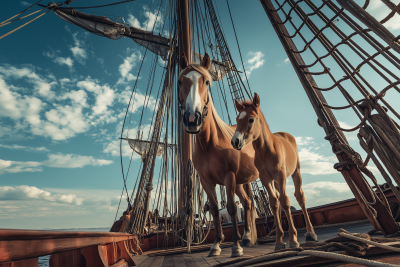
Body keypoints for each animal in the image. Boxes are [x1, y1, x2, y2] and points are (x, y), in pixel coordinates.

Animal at [178, 53, 260, 258]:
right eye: (180, 81)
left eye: (207, 82)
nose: (192, 119)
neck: (209, 143)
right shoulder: (206, 180)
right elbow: (215, 210)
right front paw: (216, 244)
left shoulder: (228, 176)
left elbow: (231, 208)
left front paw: (235, 246)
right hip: (240, 182)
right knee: (247, 202)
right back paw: (247, 237)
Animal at [230, 92, 318, 251]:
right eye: (237, 120)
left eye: (251, 119)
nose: (235, 141)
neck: (266, 150)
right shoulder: (265, 178)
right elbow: (274, 203)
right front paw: (279, 241)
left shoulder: (280, 174)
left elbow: (285, 201)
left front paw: (293, 240)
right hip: (276, 181)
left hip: (296, 172)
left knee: (299, 196)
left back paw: (311, 233)